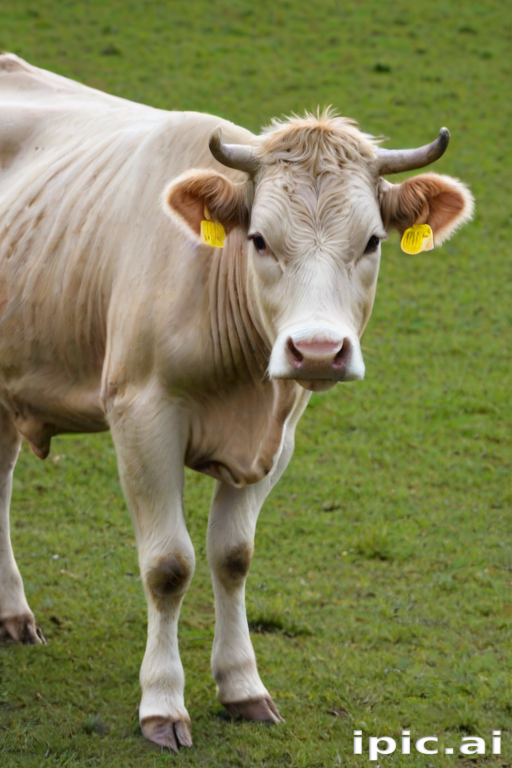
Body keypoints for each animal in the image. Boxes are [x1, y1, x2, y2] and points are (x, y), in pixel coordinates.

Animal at [0, 54, 474, 751]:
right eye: (258, 239)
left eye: (371, 241)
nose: (317, 350)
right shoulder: (141, 415)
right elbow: (169, 565)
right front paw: (162, 703)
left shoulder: (279, 437)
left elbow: (233, 556)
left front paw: (243, 687)